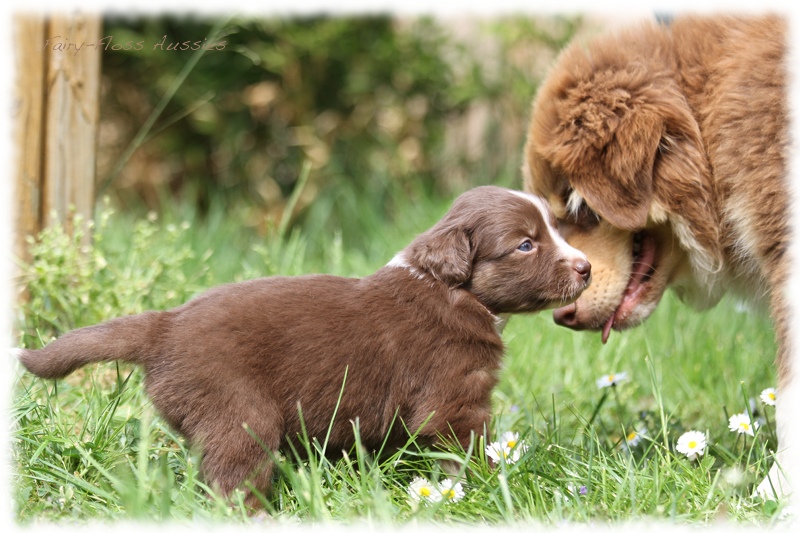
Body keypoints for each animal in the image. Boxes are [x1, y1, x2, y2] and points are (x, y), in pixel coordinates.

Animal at [15, 187, 592, 508]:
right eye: (525, 244)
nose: (587, 267)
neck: (452, 289)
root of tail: (165, 325)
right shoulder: (455, 396)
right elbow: (469, 450)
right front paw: (500, 491)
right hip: (238, 414)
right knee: (231, 482)